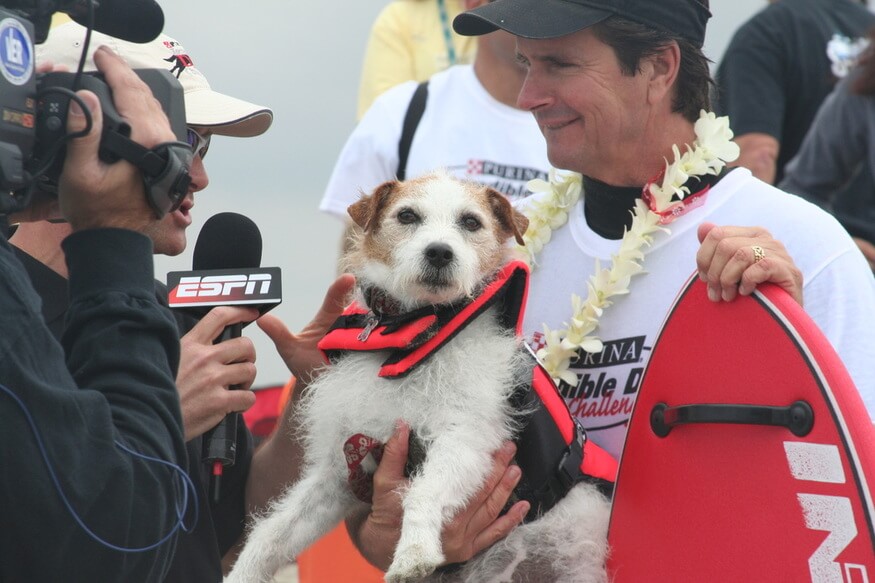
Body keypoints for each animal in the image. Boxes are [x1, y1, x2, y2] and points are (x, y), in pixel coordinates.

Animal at [224, 171, 608, 580]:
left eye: (471, 222)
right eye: (407, 215)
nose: (439, 252)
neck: (408, 331)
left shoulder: (466, 441)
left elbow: (424, 492)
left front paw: (414, 552)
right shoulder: (343, 469)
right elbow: (274, 532)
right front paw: (242, 572)